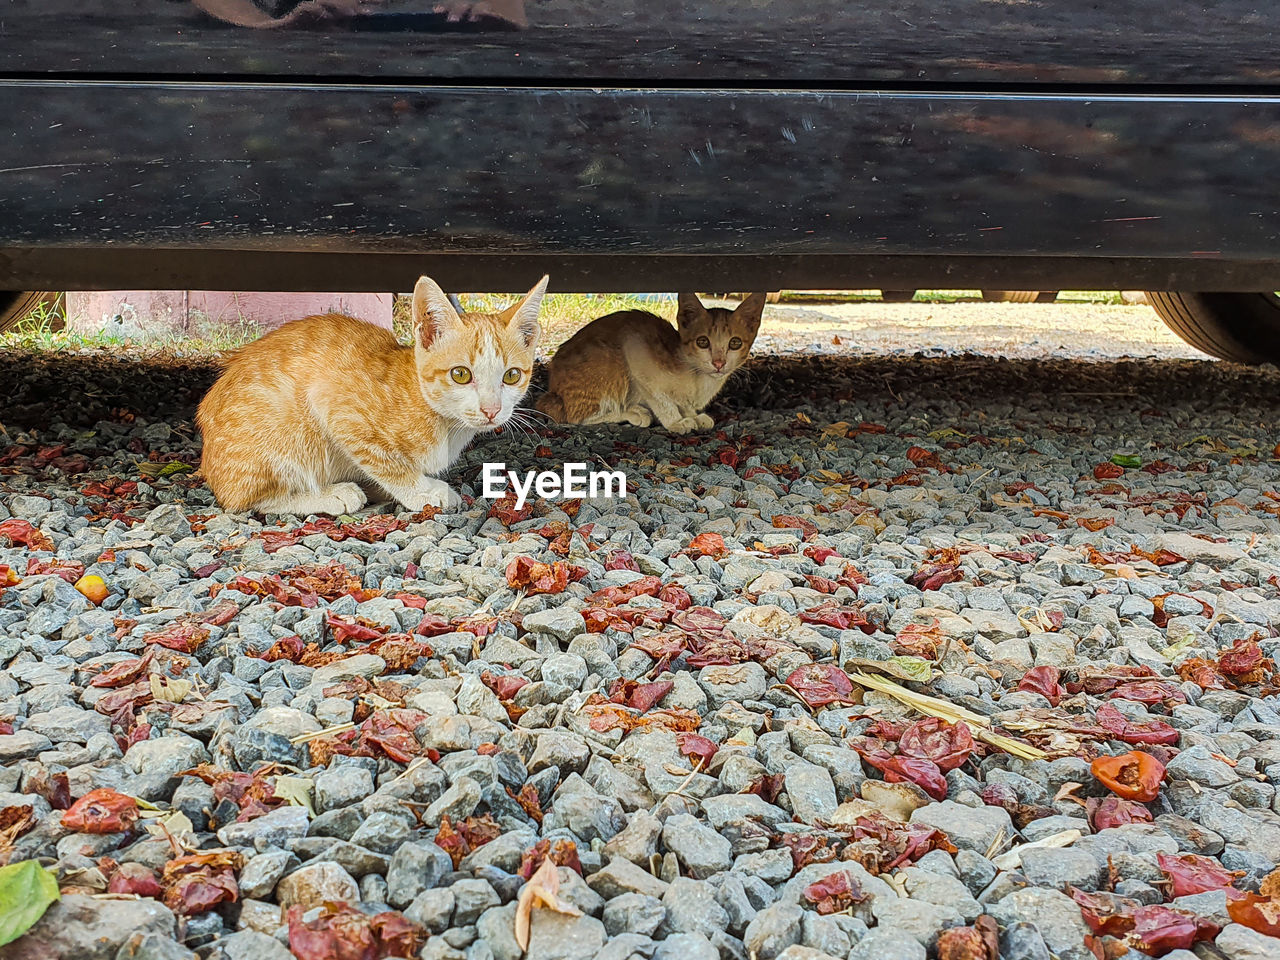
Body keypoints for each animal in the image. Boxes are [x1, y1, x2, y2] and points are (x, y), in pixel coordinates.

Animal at [535, 289, 762, 432]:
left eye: (735, 343)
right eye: (703, 341)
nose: (719, 363)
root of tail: (553, 391)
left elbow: (683, 403)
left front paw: (692, 414)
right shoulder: (635, 347)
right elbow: (661, 399)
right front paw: (676, 421)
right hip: (610, 362)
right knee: (575, 416)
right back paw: (631, 412)